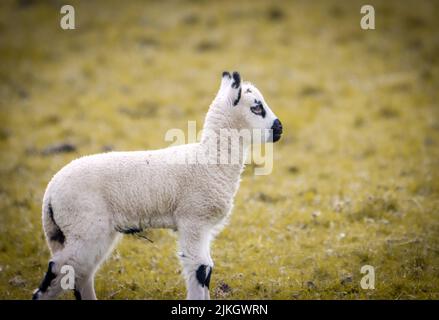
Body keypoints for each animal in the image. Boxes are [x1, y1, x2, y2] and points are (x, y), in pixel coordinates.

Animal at [32, 70, 284, 300]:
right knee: (61, 270)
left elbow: (206, 269)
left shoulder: (203, 225)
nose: (279, 128)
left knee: (81, 275)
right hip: (83, 226)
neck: (211, 159)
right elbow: (201, 268)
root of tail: (50, 194)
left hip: (89, 232)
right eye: (256, 107)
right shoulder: (194, 219)